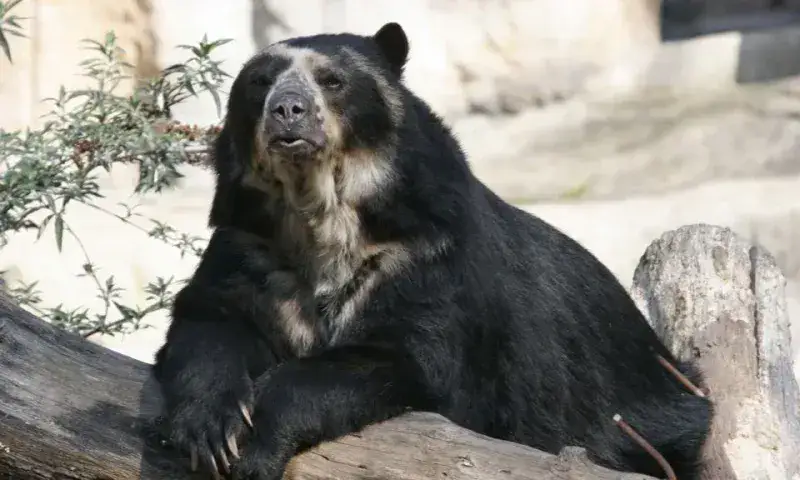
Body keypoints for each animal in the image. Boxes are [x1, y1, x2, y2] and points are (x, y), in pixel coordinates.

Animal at [152, 22, 713, 480]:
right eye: (259, 83)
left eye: (332, 81)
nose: (288, 110)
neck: (320, 216)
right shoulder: (250, 243)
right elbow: (211, 319)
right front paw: (212, 431)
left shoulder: (425, 256)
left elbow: (404, 356)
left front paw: (259, 446)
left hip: (641, 417)